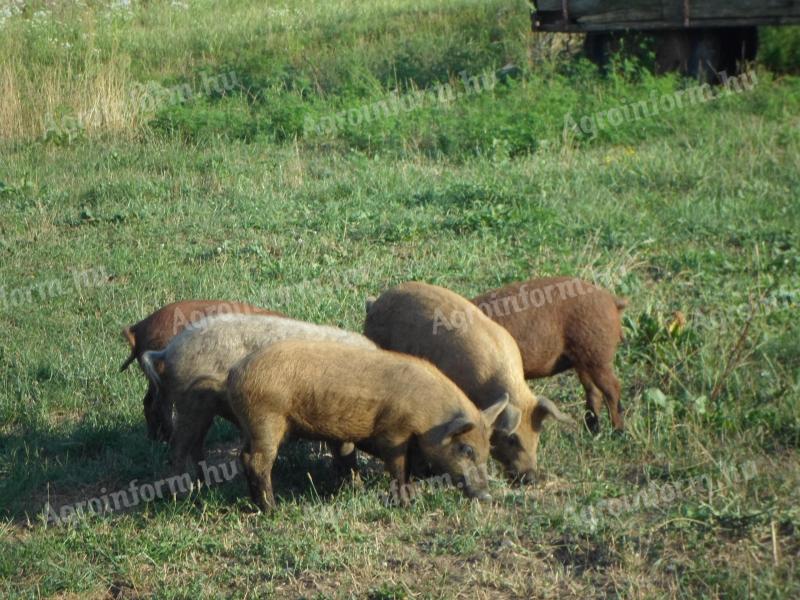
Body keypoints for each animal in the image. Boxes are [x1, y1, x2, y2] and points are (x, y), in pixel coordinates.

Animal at [119, 298, 278, 440]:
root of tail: (138, 329)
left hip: (154, 378)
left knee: (148, 401)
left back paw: (153, 438)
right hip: (164, 374)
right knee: (159, 406)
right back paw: (166, 439)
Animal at [225, 340, 510, 508]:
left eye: (487, 451)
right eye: (466, 449)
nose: (486, 496)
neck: (429, 415)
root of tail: (235, 373)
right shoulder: (394, 432)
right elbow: (399, 466)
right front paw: (406, 503)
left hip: (254, 425)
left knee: (243, 456)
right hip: (266, 420)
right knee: (257, 461)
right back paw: (272, 508)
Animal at [472, 278, 628, 434]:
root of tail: (611, 299)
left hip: (597, 355)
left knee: (613, 389)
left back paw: (617, 432)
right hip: (583, 361)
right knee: (594, 391)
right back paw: (591, 431)